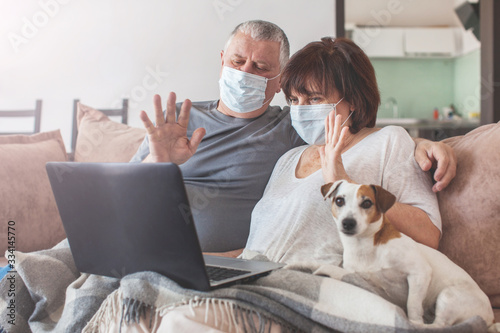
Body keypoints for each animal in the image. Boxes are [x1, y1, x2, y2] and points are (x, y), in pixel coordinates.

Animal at [322, 179, 494, 326]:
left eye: (367, 203)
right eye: (339, 201)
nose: (348, 223)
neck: (365, 246)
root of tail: (491, 317)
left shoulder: (420, 273)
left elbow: (413, 304)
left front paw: (413, 321)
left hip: (449, 296)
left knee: (439, 325)